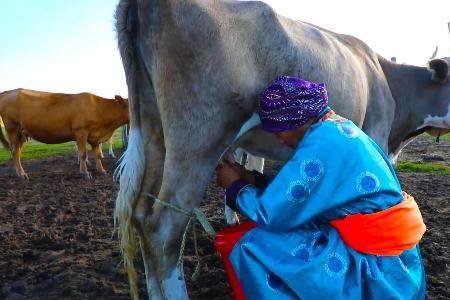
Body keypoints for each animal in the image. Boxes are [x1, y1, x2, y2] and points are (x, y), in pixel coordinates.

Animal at [0, 88, 130, 178]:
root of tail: (9, 92)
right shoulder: (81, 131)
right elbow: (83, 154)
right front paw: (85, 173)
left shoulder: (95, 136)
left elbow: (97, 154)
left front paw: (102, 170)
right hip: (12, 130)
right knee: (15, 152)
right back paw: (22, 174)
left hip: (21, 133)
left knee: (17, 152)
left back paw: (20, 172)